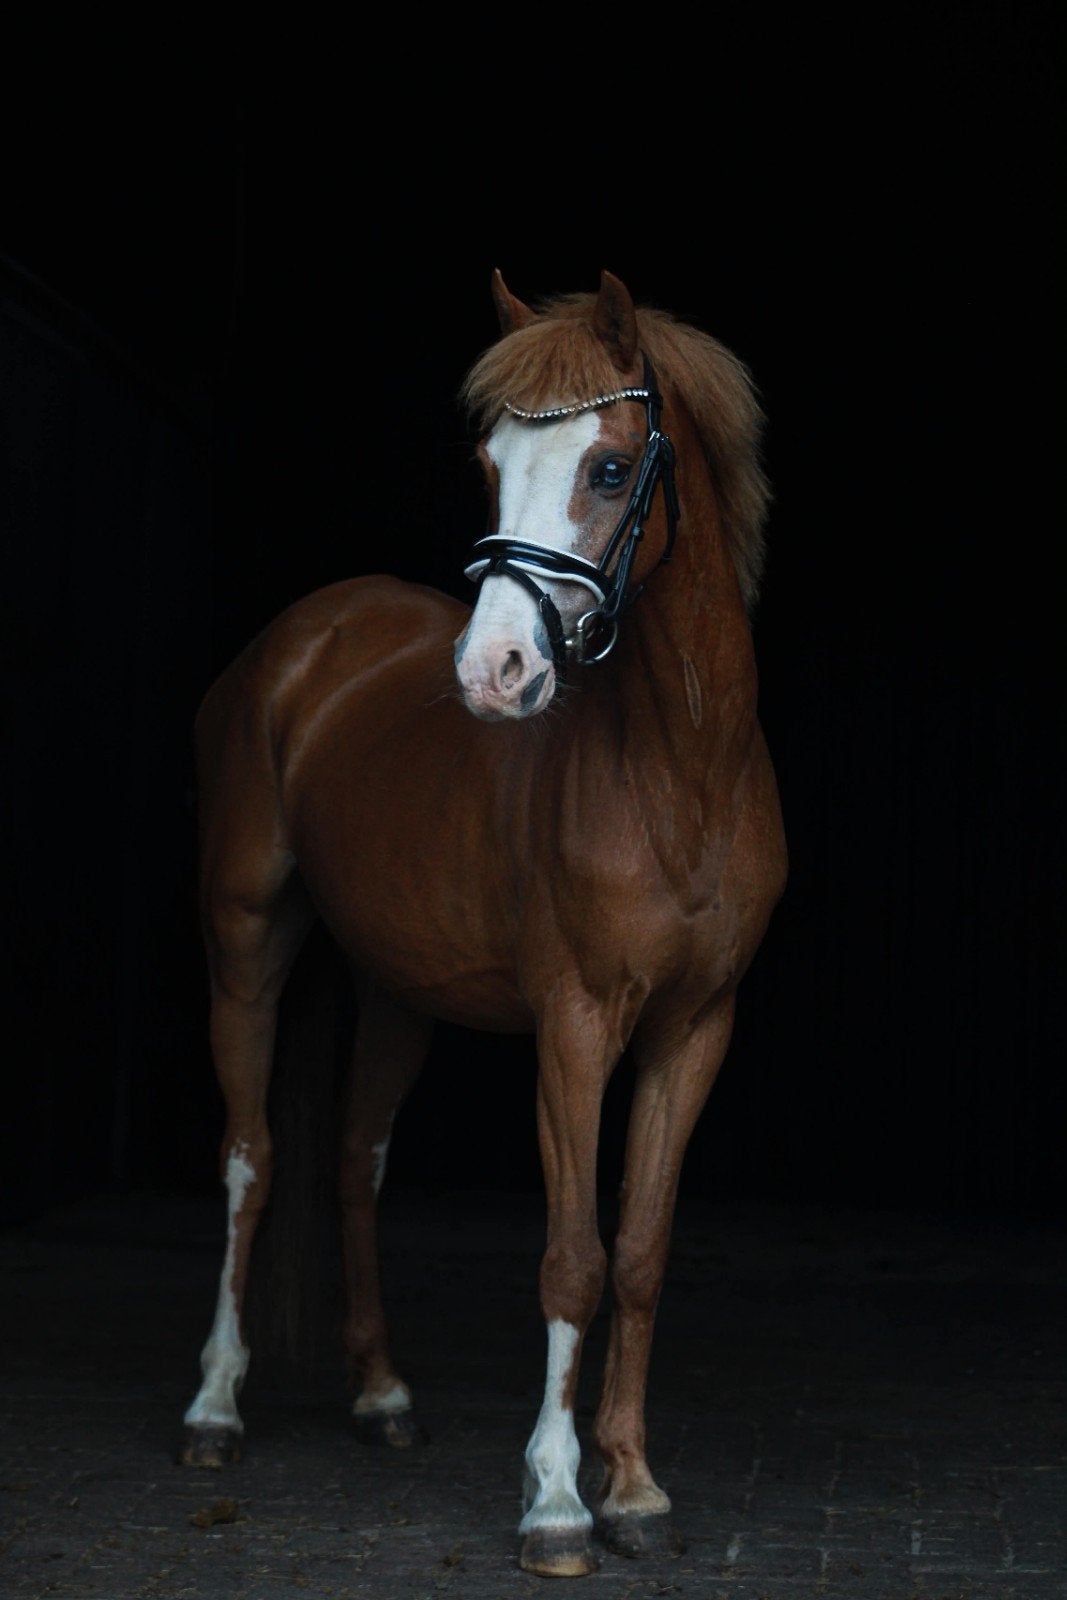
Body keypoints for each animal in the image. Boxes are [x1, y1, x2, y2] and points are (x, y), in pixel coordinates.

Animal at [178, 268, 787, 1578]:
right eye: (488, 461)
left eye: (607, 467)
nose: (492, 671)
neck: (681, 772)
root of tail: (300, 641)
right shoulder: (575, 1024)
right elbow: (573, 1256)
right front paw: (555, 1501)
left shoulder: (692, 1031)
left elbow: (642, 1252)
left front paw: (634, 1488)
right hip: (246, 942)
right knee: (251, 1158)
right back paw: (213, 1408)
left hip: (397, 986)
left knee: (356, 1155)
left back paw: (380, 1396)